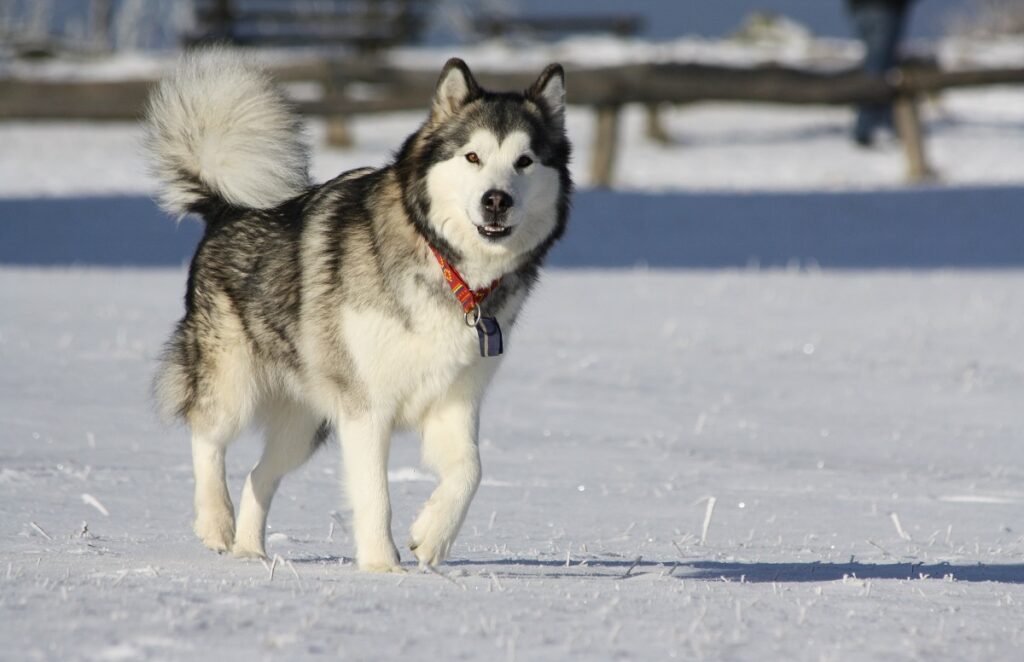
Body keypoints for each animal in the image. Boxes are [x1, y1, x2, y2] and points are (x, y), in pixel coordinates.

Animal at [146, 49, 569, 573]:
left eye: (524, 161)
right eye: (473, 156)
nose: (497, 200)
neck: (447, 266)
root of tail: (227, 208)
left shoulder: (454, 400)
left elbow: (471, 470)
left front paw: (432, 538)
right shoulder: (366, 408)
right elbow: (375, 495)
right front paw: (382, 567)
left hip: (306, 424)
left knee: (259, 475)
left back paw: (251, 551)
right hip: (233, 381)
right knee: (207, 434)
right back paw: (216, 522)